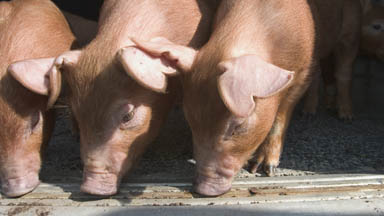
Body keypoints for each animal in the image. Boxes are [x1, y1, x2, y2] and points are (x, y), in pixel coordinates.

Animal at [119, 0, 364, 196]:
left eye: (238, 126)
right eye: (191, 122)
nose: (203, 189)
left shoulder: (302, 71)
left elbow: (280, 118)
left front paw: (264, 170)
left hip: (350, 33)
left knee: (343, 72)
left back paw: (345, 116)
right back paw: (311, 113)